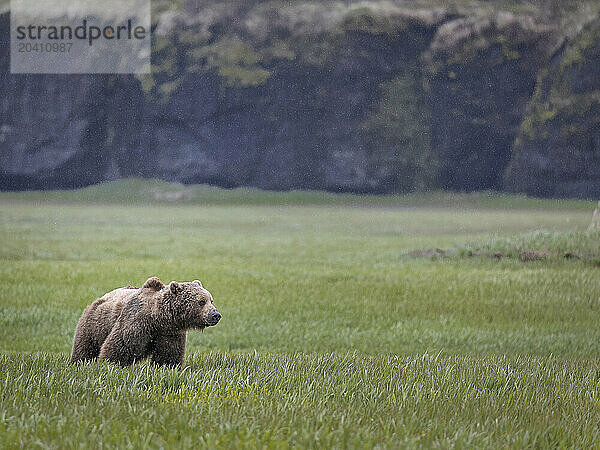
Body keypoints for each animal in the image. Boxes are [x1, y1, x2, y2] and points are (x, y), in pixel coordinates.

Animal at [70, 276, 220, 368]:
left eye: (211, 300)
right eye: (202, 301)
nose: (216, 315)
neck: (158, 318)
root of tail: (97, 300)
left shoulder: (170, 332)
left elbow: (168, 355)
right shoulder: (136, 323)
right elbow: (119, 346)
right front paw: (110, 364)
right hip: (93, 325)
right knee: (85, 348)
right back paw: (79, 363)